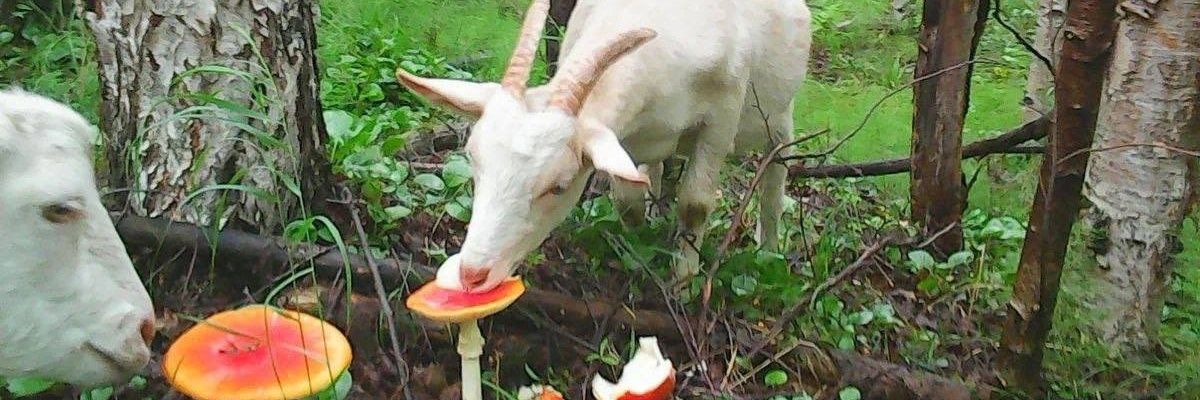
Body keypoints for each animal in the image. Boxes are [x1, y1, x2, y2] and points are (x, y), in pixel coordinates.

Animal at [397, 0, 811, 292]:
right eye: (475, 165)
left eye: (559, 186)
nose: (472, 274)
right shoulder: (622, 137)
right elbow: (627, 201)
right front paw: (638, 250)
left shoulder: (721, 117)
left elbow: (695, 203)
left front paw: (682, 283)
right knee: (656, 173)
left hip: (779, 115)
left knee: (775, 174)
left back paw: (768, 251)